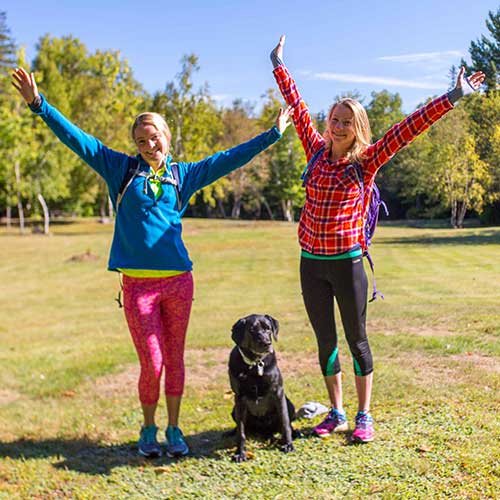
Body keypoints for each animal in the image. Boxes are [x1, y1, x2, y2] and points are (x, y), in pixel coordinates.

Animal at [229, 314, 294, 462]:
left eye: (268, 328)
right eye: (251, 330)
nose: (266, 343)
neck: (254, 365)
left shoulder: (278, 392)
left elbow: (285, 421)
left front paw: (288, 444)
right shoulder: (239, 398)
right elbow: (241, 431)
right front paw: (240, 453)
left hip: (290, 405)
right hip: (234, 410)